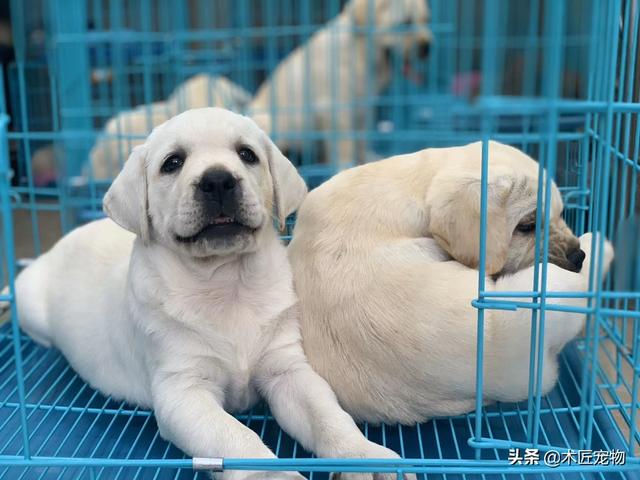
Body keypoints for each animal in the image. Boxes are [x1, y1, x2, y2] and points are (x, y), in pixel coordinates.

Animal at [10, 109, 410, 480]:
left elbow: (329, 417)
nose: (218, 180)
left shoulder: (287, 370)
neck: (225, 281)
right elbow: (237, 439)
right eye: (172, 162)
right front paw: (273, 476)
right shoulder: (183, 391)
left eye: (247, 154)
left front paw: (365, 456)